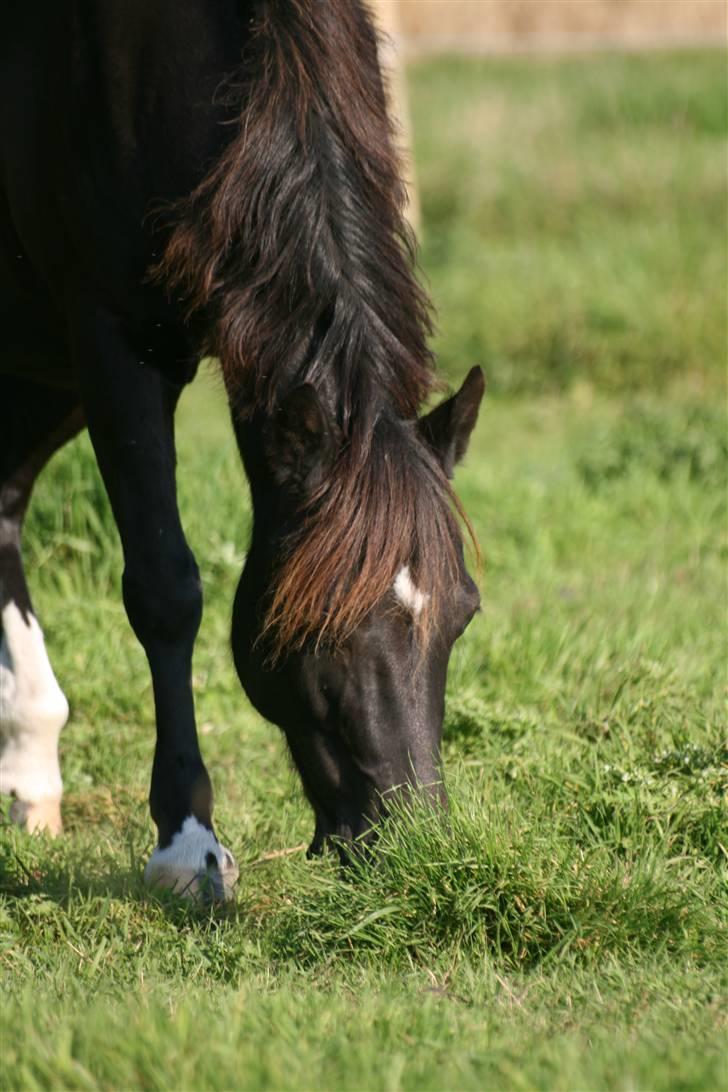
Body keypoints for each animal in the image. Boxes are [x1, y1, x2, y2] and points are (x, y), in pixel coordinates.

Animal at [0, 0, 484, 895]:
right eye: (319, 628)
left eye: (463, 614)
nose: (411, 847)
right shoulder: (113, 340)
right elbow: (166, 589)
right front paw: (186, 843)